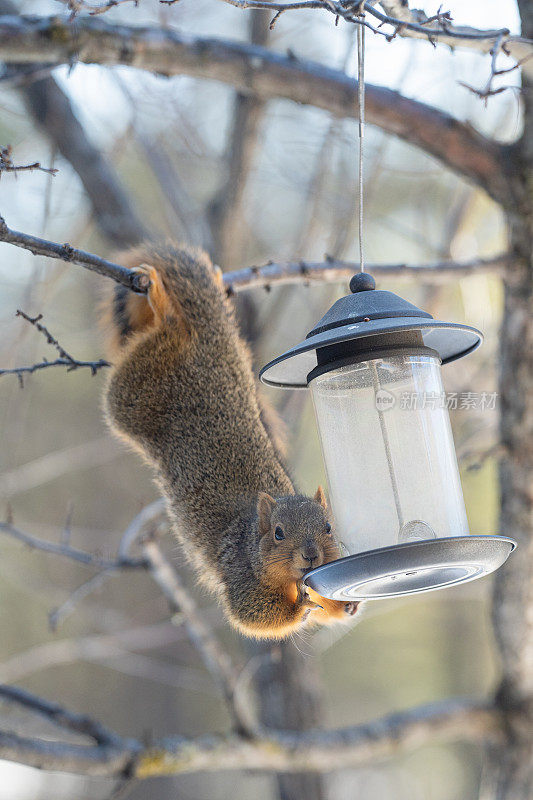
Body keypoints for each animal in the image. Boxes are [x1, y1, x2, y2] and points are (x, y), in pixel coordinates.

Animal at [101, 244, 358, 636]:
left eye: (329, 527)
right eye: (278, 533)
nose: (311, 556)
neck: (252, 537)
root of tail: (213, 343)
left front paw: (343, 604)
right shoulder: (240, 574)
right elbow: (253, 614)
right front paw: (299, 607)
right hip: (136, 392)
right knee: (164, 338)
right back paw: (164, 306)